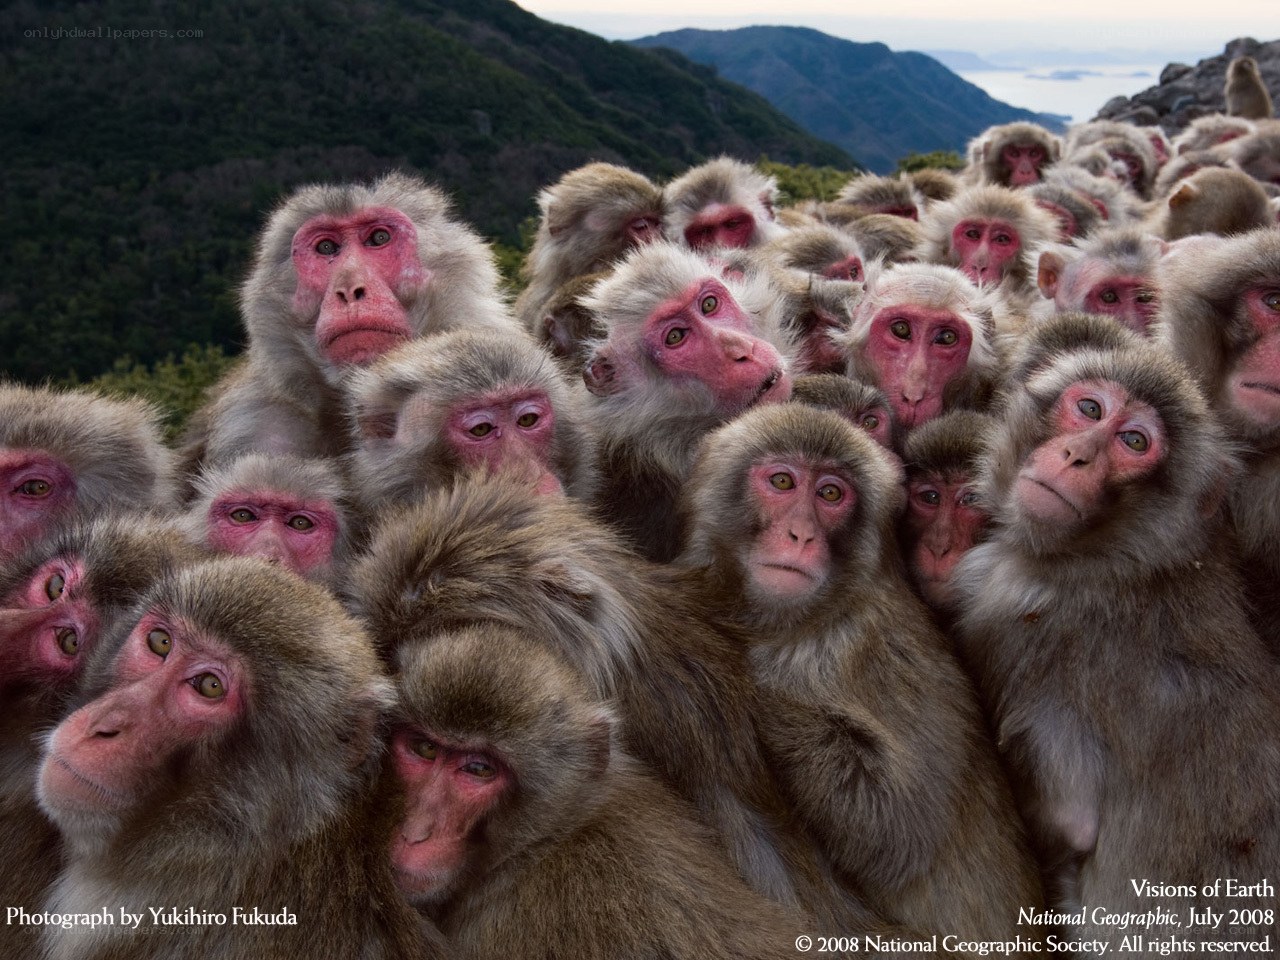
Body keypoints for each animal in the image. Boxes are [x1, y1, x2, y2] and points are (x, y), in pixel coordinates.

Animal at [951, 341, 1280, 945]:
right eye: (1090, 410)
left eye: (1134, 442)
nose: (1076, 454)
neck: (1127, 561)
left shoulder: (1010, 609)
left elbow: (1073, 820)